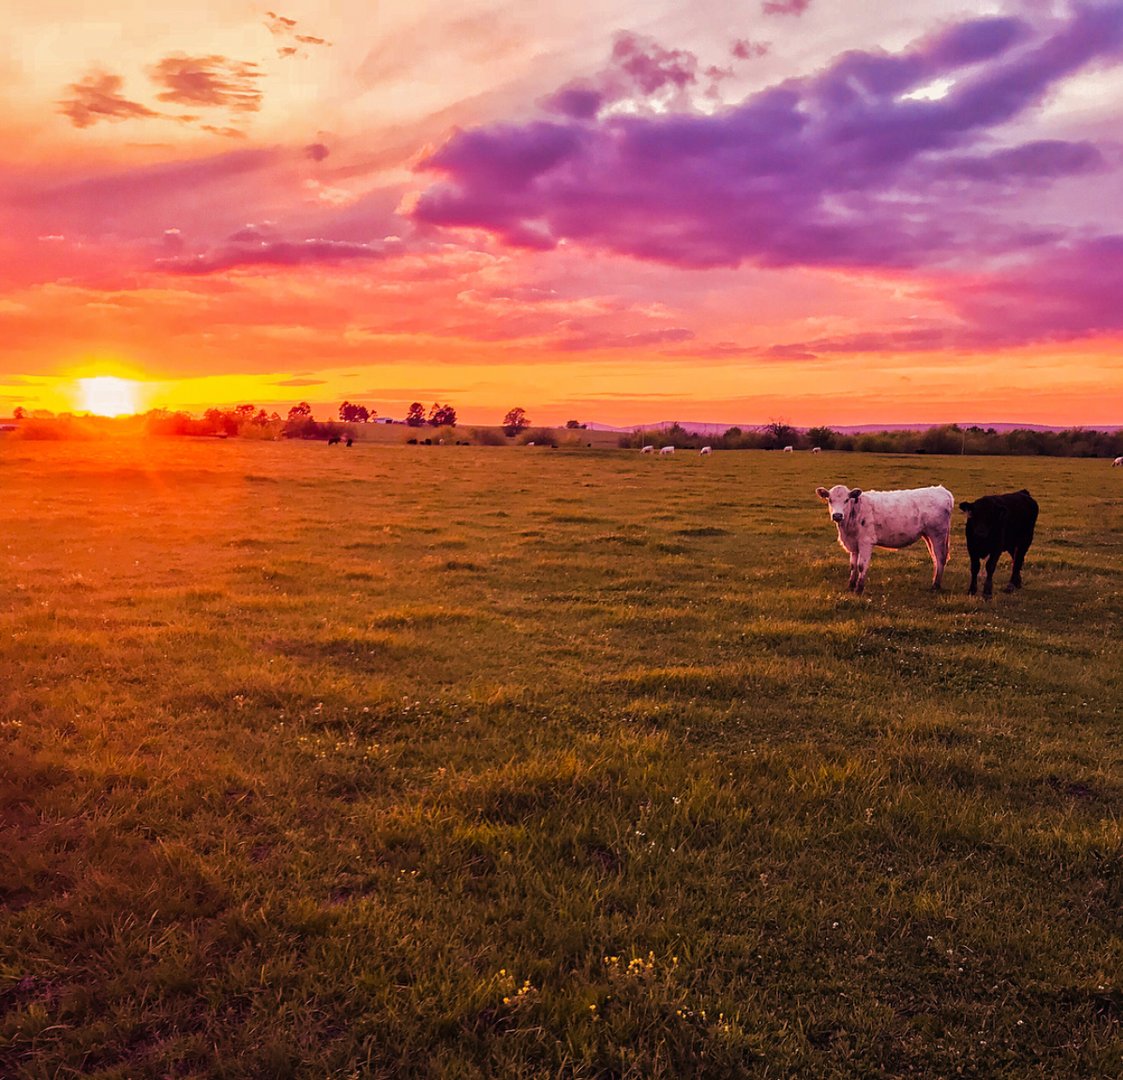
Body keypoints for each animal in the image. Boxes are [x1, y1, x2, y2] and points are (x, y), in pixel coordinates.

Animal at [813, 484, 952, 592]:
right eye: (830, 500)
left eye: (847, 500)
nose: (837, 515)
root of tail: (942, 490)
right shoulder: (853, 544)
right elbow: (853, 565)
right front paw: (851, 586)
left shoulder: (865, 542)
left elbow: (861, 565)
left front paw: (859, 589)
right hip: (928, 535)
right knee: (935, 558)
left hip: (938, 534)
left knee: (940, 558)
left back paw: (935, 586)